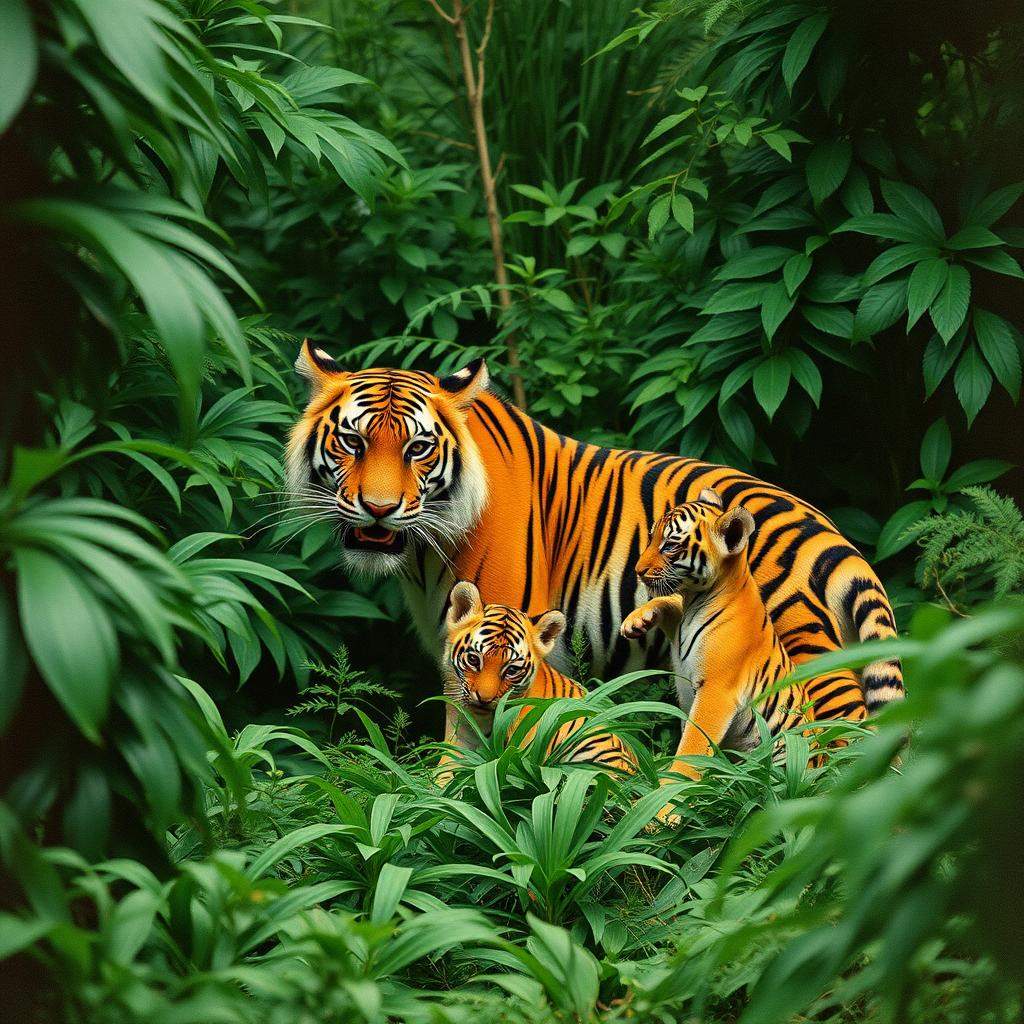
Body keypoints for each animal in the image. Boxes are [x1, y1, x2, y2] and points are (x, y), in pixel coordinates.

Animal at [620, 488, 868, 822]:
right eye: (650, 538)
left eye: (669, 545)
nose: (637, 571)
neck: (697, 600)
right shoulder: (680, 627)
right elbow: (668, 602)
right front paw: (636, 620)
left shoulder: (716, 692)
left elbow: (691, 748)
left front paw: (664, 807)